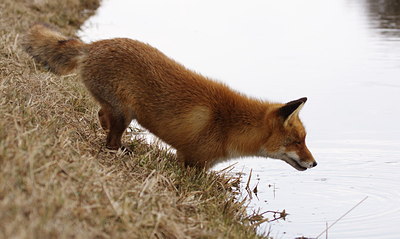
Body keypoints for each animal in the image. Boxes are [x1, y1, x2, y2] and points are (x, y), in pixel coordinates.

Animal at [22, 23, 316, 170]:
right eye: (295, 142)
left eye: (303, 140)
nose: (314, 163)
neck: (232, 126)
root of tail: (93, 46)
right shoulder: (192, 161)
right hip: (124, 114)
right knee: (111, 140)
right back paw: (120, 150)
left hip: (119, 111)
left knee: (101, 114)